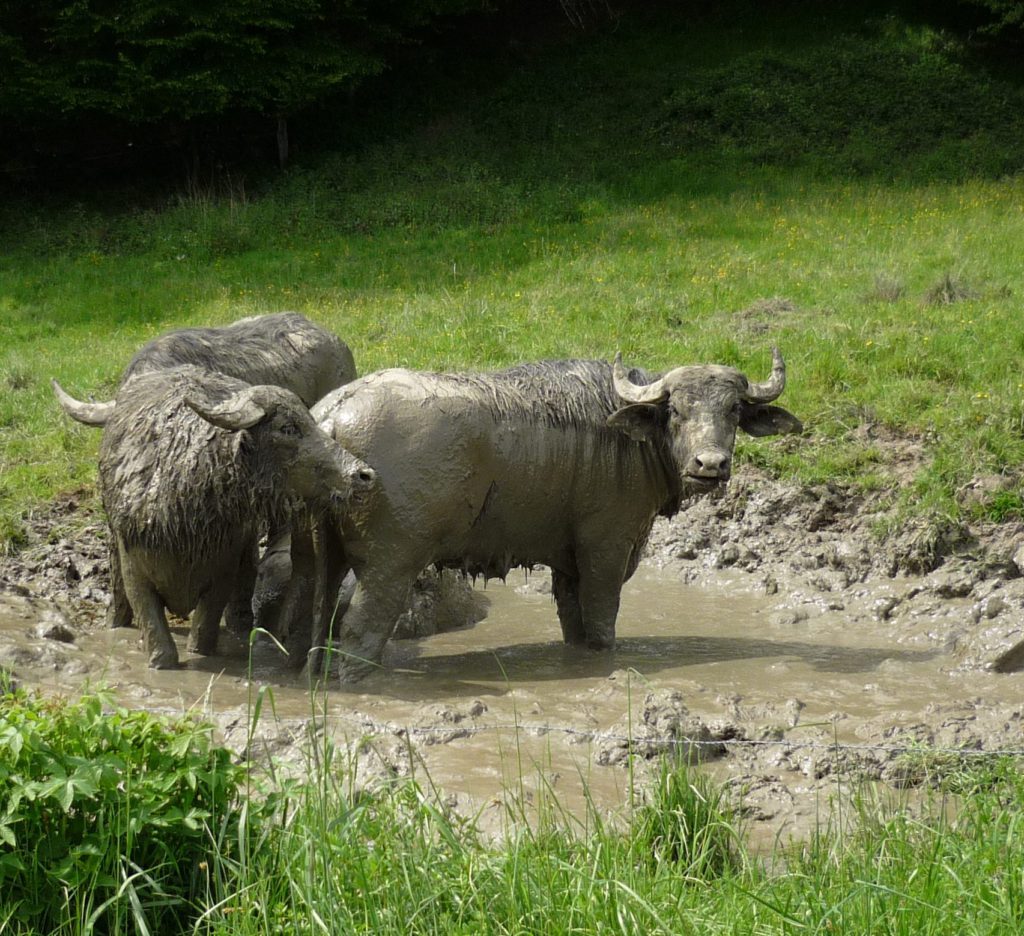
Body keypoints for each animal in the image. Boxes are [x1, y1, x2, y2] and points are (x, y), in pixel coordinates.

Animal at [58, 362, 376, 663]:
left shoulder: (225, 567)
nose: (362, 474)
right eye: (287, 428)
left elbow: (204, 630)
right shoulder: (134, 566)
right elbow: (157, 637)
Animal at [307, 344, 802, 679]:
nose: (710, 465)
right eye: (676, 411)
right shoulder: (606, 550)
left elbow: (574, 623)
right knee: (359, 630)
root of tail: (331, 416)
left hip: (321, 562)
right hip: (390, 564)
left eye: (734, 409)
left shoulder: (568, 564)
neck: (626, 437)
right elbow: (601, 623)